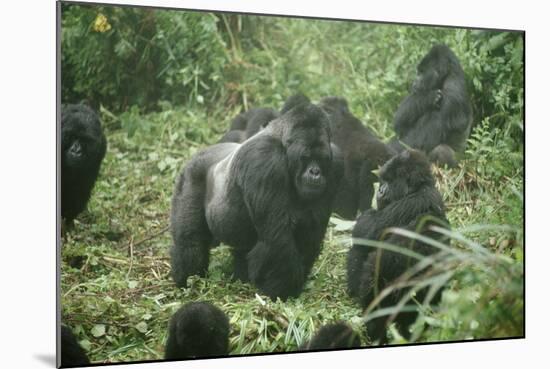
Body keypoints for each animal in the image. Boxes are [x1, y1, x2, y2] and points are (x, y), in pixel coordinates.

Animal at [171, 103, 344, 300]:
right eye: (305, 157)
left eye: (321, 159)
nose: (315, 172)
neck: (283, 146)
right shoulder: (264, 160)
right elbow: (277, 239)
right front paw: (283, 290)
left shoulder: (336, 163)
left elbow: (311, 233)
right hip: (190, 174)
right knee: (190, 243)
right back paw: (188, 280)